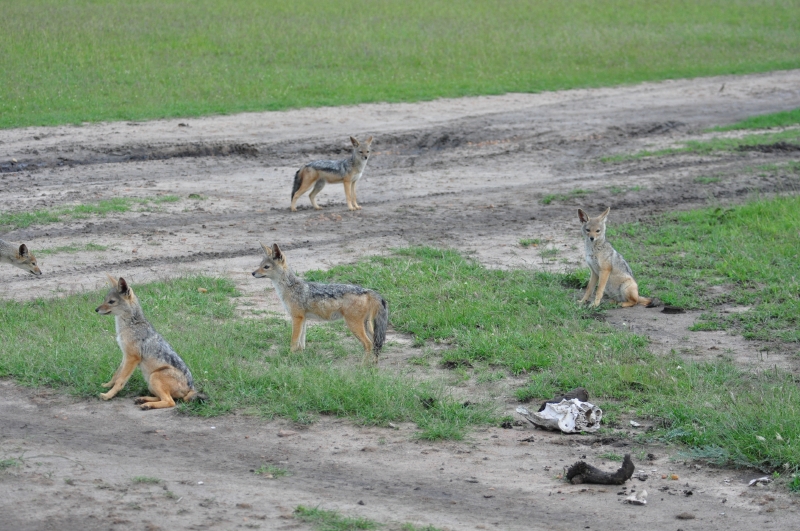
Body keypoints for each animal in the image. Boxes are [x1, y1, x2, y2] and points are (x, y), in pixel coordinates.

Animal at [95, 274, 204, 409]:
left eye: (111, 302)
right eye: (105, 300)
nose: (96, 309)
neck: (130, 325)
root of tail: (191, 388)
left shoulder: (132, 358)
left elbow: (120, 380)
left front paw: (108, 395)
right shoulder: (125, 356)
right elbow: (116, 375)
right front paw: (107, 385)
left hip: (154, 377)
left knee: (170, 402)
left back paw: (147, 405)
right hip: (151, 383)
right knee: (164, 398)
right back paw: (143, 399)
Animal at [251, 242, 388, 364]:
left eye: (266, 267)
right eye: (259, 265)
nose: (252, 273)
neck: (290, 287)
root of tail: (367, 290)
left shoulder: (297, 318)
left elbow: (294, 342)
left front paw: (289, 358)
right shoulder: (303, 319)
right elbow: (301, 342)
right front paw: (300, 357)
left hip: (354, 325)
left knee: (369, 344)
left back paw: (362, 366)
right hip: (367, 326)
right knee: (377, 343)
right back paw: (374, 364)